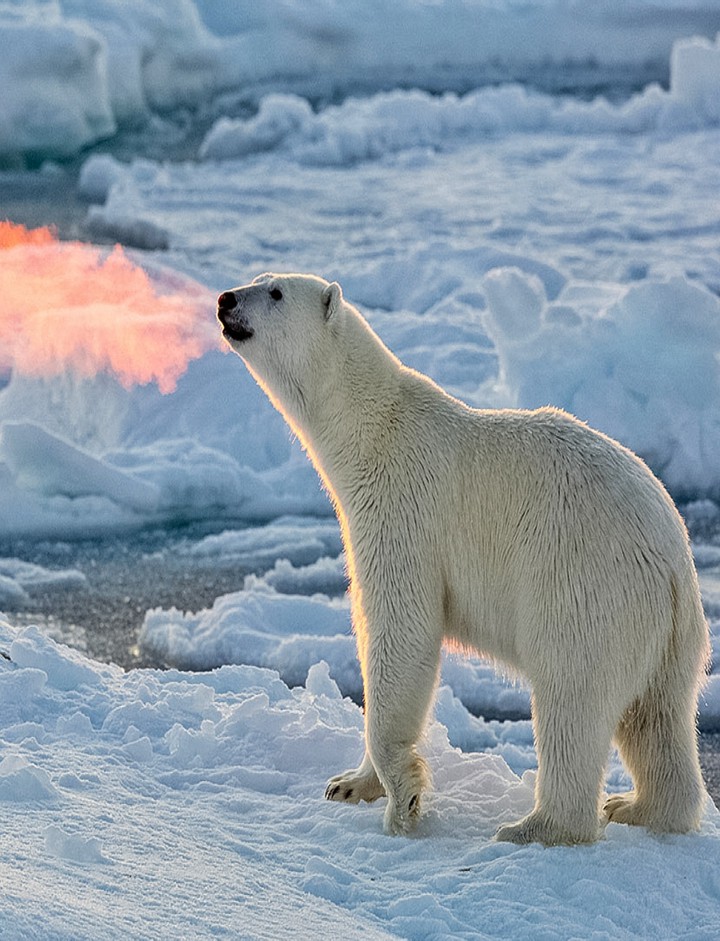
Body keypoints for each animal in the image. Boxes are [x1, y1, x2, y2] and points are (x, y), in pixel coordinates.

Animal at [217, 272, 709, 845]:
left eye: (273, 292)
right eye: (256, 279)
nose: (225, 299)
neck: (371, 430)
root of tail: (672, 561)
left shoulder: (402, 508)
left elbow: (401, 630)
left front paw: (402, 800)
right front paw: (348, 784)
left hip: (585, 588)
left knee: (572, 699)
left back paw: (534, 826)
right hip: (668, 635)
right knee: (657, 717)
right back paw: (638, 807)